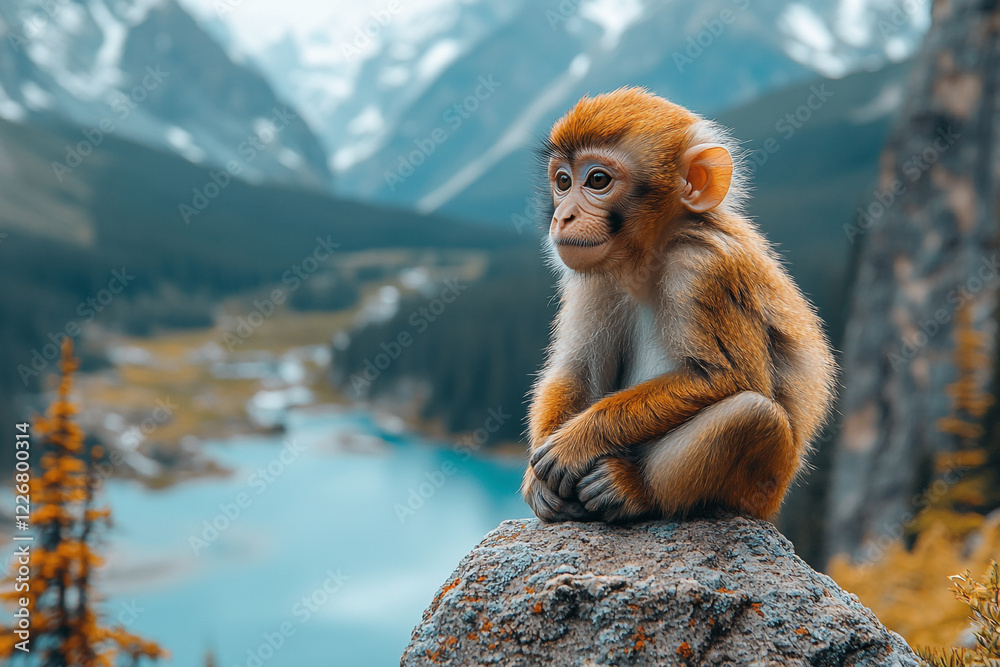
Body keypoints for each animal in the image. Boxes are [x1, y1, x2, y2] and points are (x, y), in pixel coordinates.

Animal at [522, 87, 836, 524]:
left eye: (598, 180)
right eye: (563, 181)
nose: (563, 216)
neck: (647, 259)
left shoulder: (704, 268)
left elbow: (727, 377)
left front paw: (577, 442)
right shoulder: (596, 278)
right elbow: (576, 371)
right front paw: (537, 483)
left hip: (760, 487)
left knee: (754, 414)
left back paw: (633, 489)